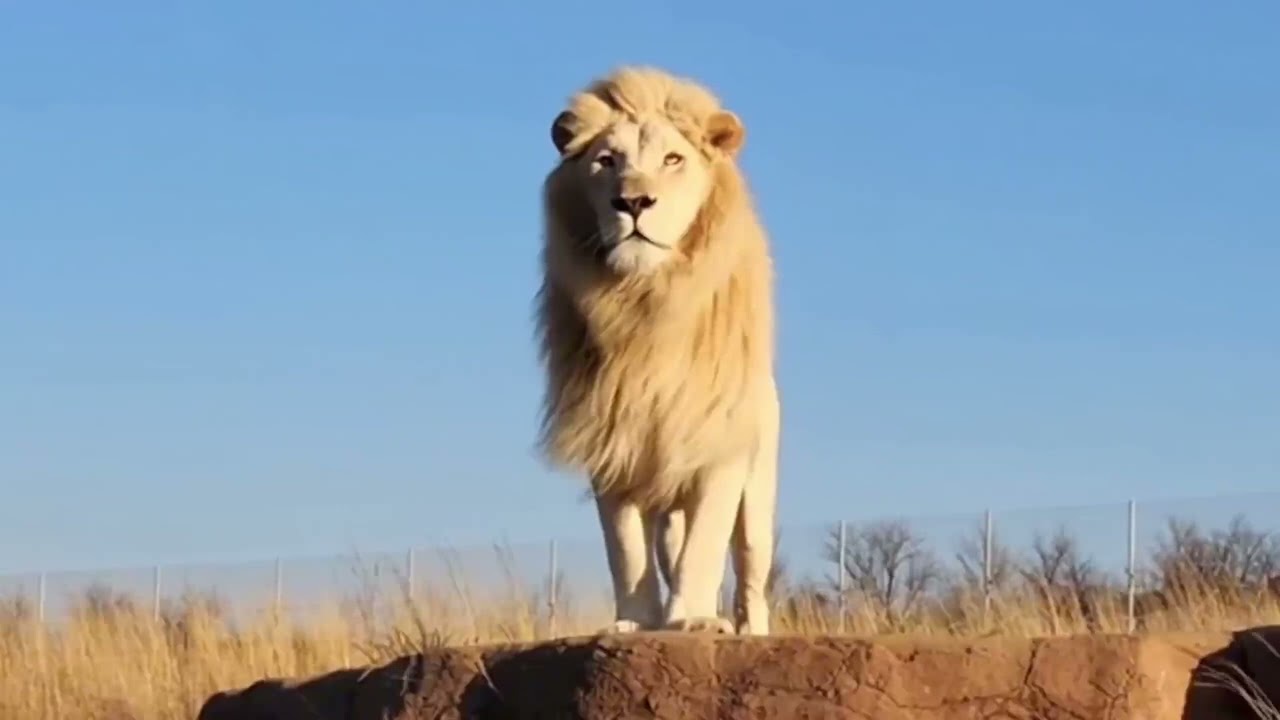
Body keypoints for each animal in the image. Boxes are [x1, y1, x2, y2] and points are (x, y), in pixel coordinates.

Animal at [533, 66, 780, 636]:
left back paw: (748, 630)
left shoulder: (718, 447)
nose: (632, 203)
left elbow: (706, 542)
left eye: (673, 159)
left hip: (758, 496)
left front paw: (694, 620)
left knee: (749, 572)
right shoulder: (612, 442)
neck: (647, 304)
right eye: (606, 161)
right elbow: (625, 549)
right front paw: (634, 622)